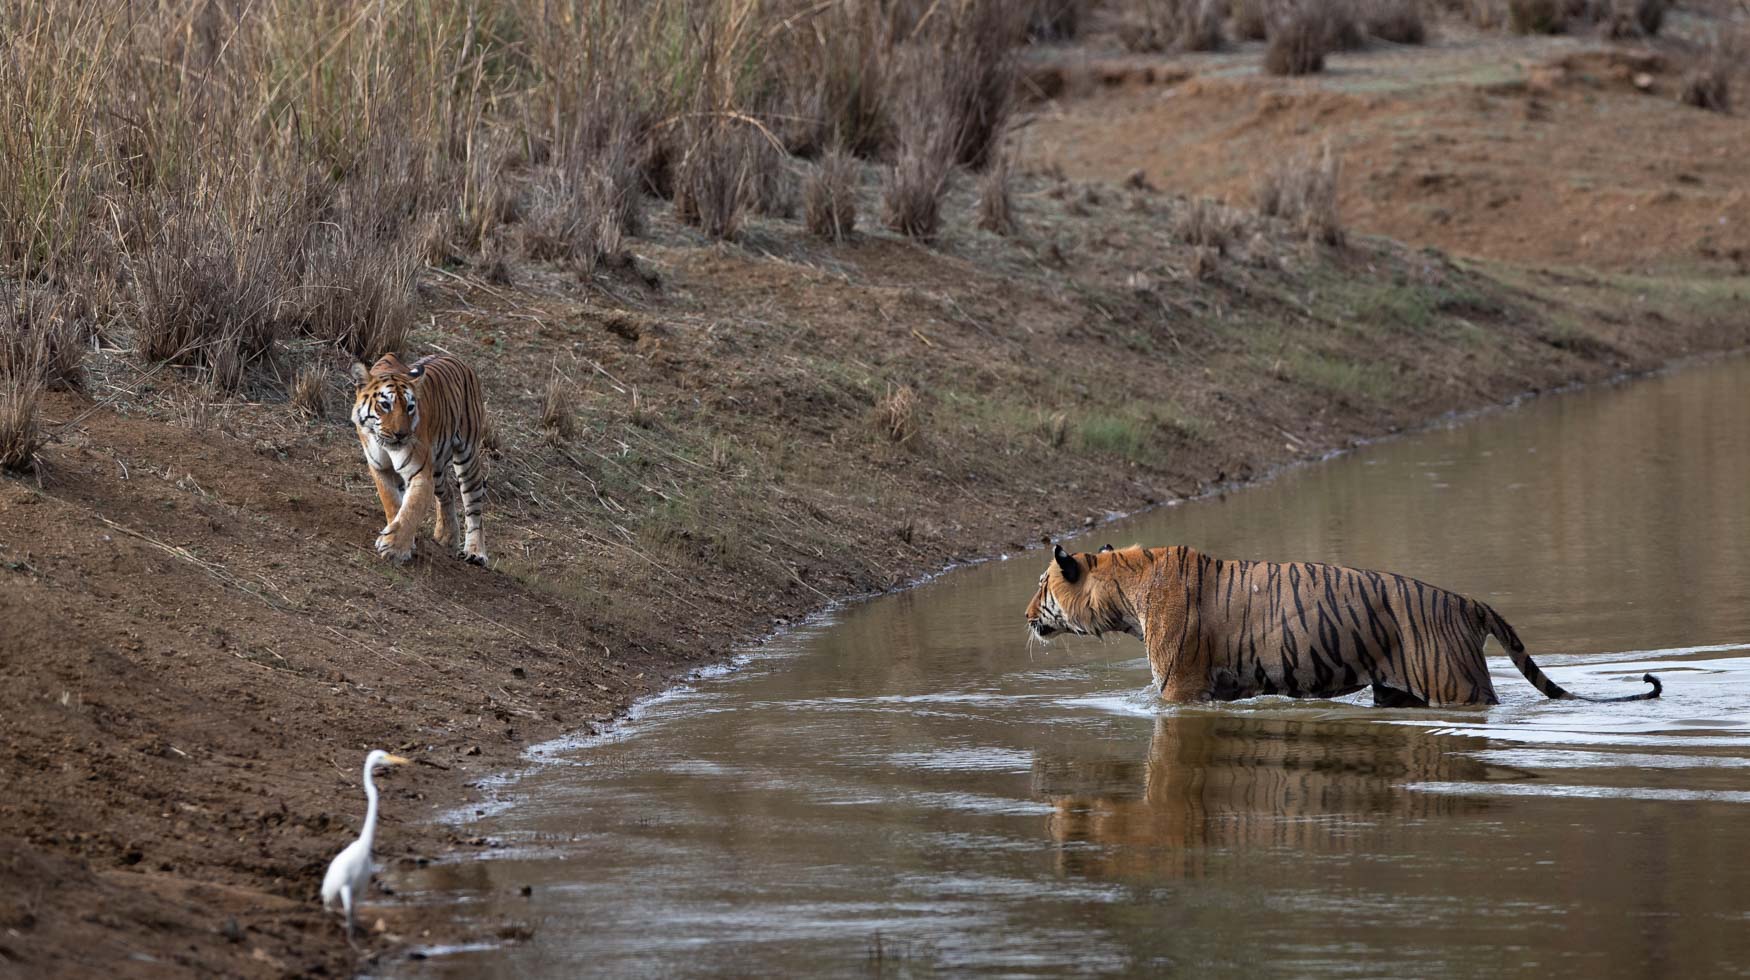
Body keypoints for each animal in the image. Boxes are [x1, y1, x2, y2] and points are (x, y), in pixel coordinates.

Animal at [348, 351, 490, 567]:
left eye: (410, 407)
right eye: (385, 405)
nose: (401, 434)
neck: (381, 441)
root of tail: (459, 360)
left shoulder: (420, 473)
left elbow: (411, 508)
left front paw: (395, 548)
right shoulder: (381, 468)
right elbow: (393, 503)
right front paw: (398, 538)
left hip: (467, 456)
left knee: (474, 507)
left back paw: (475, 552)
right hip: (437, 469)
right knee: (448, 493)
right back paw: (446, 537)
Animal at [1029, 539, 1659, 707]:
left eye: (1040, 587)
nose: (1024, 615)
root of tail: (1467, 602)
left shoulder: (1180, 690)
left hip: (1455, 685)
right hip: (1397, 690)